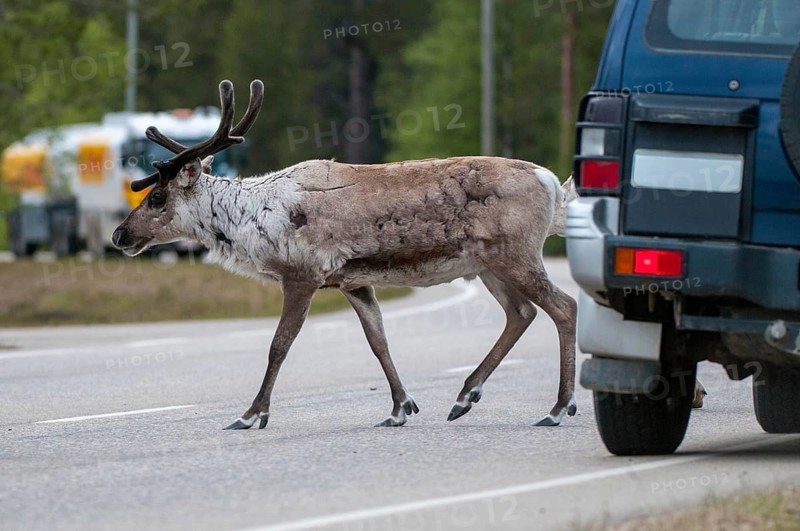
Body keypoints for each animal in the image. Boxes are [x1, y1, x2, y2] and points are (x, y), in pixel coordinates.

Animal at [112, 79, 579, 430]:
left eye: (157, 197)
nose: (120, 235)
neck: (252, 222)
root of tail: (552, 183)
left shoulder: (303, 275)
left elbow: (279, 345)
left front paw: (251, 415)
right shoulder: (353, 281)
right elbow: (378, 341)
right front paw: (400, 408)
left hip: (515, 254)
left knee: (564, 306)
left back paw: (558, 407)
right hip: (488, 266)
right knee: (521, 313)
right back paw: (465, 396)